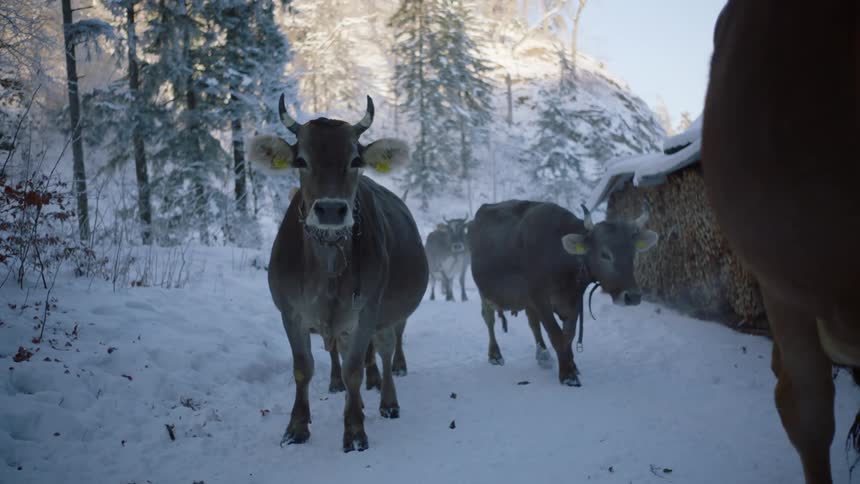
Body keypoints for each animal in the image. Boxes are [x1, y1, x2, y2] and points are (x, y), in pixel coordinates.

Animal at [247, 94, 429, 452]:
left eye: (355, 159)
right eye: (301, 160)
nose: (330, 210)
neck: (327, 267)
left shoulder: (366, 313)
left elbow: (355, 371)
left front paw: (355, 430)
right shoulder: (291, 312)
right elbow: (303, 368)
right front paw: (297, 427)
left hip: (386, 314)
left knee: (386, 349)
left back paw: (388, 401)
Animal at [468, 200, 658, 386]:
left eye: (633, 253)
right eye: (605, 254)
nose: (633, 296)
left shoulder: (573, 300)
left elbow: (568, 335)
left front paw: (572, 365)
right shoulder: (540, 298)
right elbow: (556, 334)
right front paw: (568, 374)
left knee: (533, 322)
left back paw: (543, 355)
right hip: (485, 292)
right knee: (489, 318)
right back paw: (495, 354)